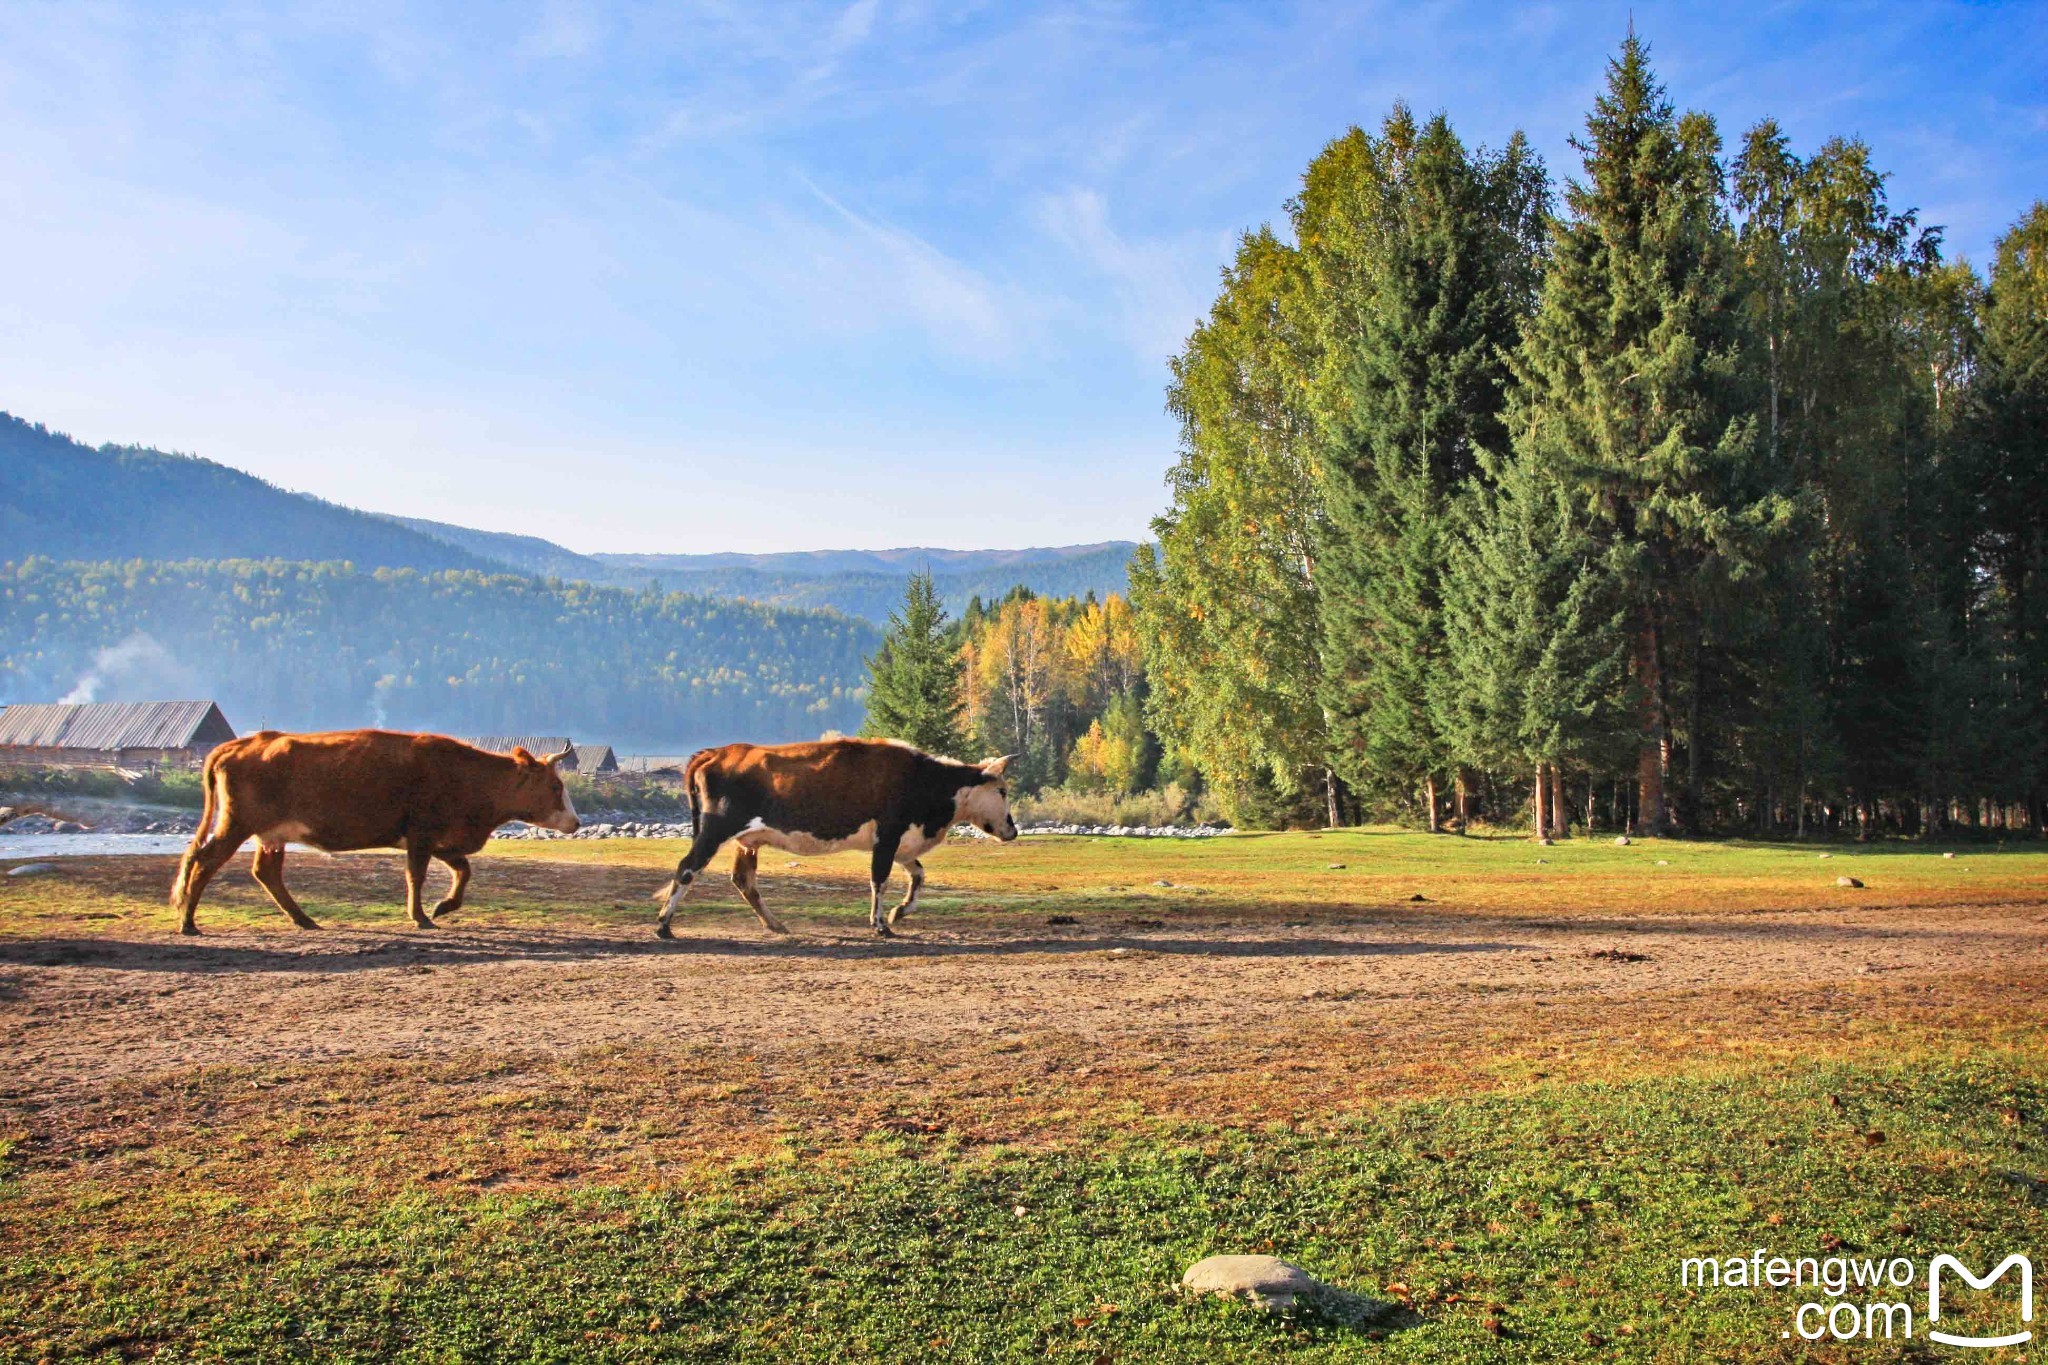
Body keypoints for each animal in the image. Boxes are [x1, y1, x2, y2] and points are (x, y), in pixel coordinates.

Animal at [168, 732, 581, 933]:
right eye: (556, 785)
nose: (576, 823)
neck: (468, 778)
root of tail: (242, 743)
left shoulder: (441, 838)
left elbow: (463, 870)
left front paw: (443, 906)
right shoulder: (421, 834)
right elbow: (417, 875)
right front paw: (421, 916)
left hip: (271, 835)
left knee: (265, 872)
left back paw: (304, 920)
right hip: (237, 824)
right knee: (203, 861)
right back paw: (188, 922)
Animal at [655, 736, 1015, 941]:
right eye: (1002, 790)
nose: (1012, 830)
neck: (925, 780)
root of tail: (718, 753)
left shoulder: (901, 843)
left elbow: (918, 876)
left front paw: (899, 912)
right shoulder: (887, 836)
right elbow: (879, 880)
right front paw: (881, 924)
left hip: (747, 841)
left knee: (743, 880)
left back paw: (775, 925)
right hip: (715, 830)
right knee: (687, 868)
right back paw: (663, 925)